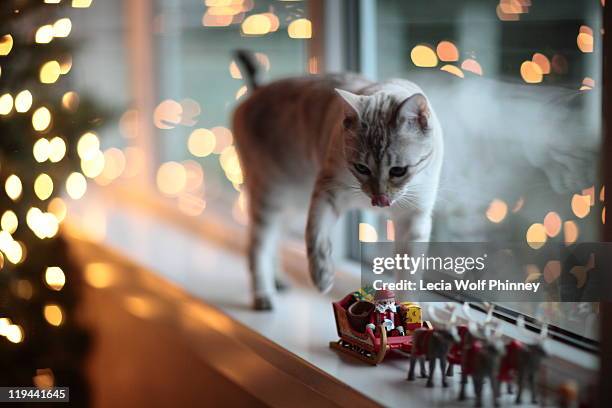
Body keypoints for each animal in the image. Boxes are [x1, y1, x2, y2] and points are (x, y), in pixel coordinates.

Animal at [232, 50, 442, 310]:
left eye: (398, 171)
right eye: (361, 167)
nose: (379, 198)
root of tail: (258, 90)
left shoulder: (413, 219)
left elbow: (409, 276)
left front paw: (407, 310)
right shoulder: (327, 194)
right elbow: (316, 239)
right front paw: (322, 279)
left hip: (291, 205)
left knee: (273, 243)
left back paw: (279, 281)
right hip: (270, 199)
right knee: (257, 247)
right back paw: (263, 296)